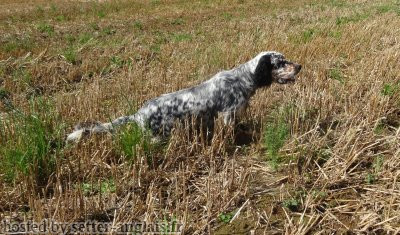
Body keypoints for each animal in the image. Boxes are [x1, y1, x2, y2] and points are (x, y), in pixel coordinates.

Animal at [67, 51, 302, 142]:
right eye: (281, 62)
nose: (299, 66)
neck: (244, 78)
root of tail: (138, 114)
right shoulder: (227, 115)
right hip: (159, 135)